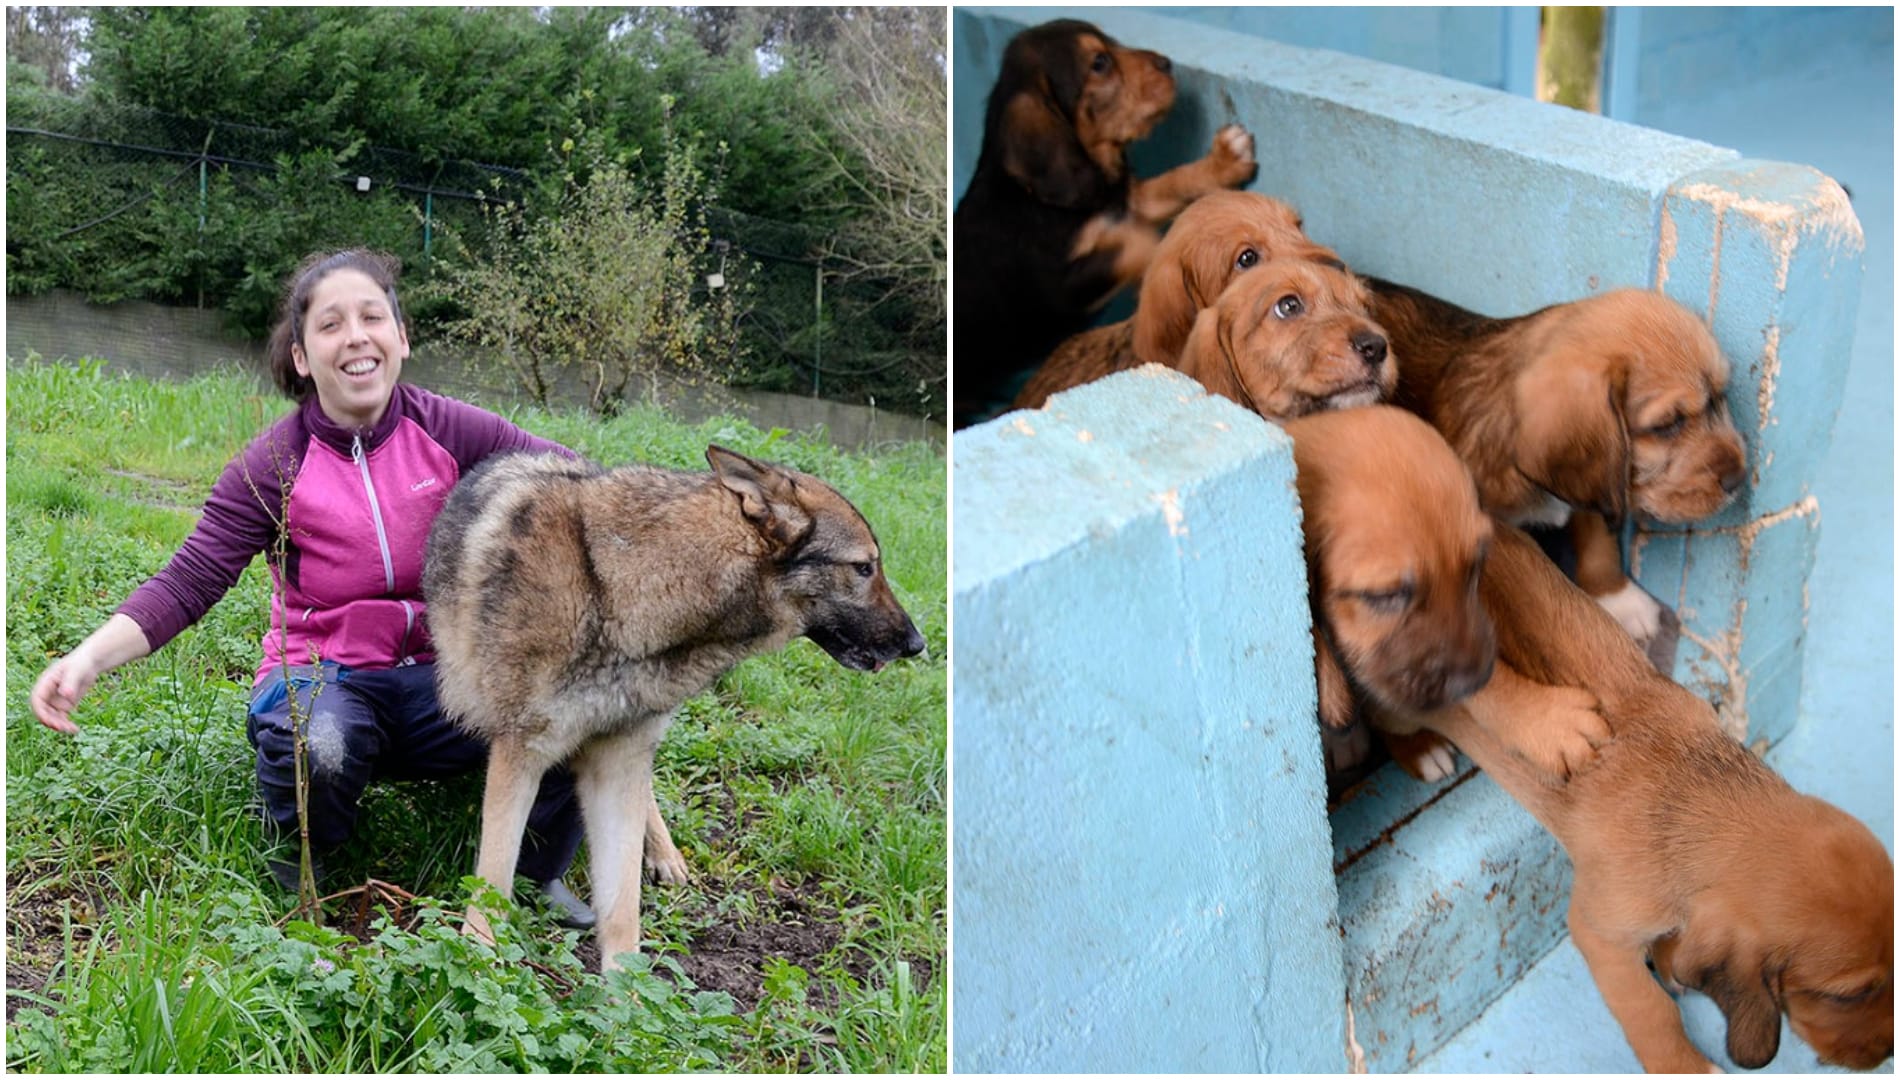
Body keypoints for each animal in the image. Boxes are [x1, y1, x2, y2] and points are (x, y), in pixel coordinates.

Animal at [957, 20, 1254, 425]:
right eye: (1099, 63)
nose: (1166, 64)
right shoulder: (1064, 285)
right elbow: (1137, 244)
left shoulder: (1126, 203)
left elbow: (1170, 183)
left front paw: (1224, 161)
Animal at [1368, 281, 1748, 650]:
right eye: (1668, 424)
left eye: (1721, 397)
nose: (1739, 478)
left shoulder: (1597, 486)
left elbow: (1598, 543)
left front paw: (1622, 600)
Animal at [1375, 524, 1892, 1072]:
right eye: (1846, 995)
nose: (1886, 1051)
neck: (1692, 796)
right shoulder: (1598, 933)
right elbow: (1649, 1008)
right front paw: (1682, 1063)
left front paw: (1670, 960)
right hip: (1404, 709)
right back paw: (1422, 749)